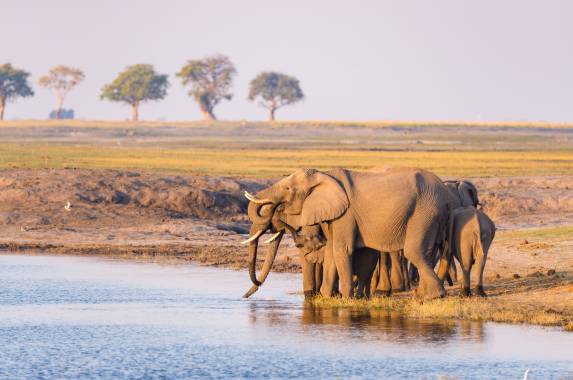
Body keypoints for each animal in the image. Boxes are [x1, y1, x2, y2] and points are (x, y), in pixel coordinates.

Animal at [241, 166, 452, 300]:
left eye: (287, 189)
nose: (244, 296)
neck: (324, 175)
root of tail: (445, 192)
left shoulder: (346, 214)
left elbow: (342, 249)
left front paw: (345, 298)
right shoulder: (334, 214)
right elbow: (331, 251)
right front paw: (326, 296)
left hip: (425, 210)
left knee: (414, 251)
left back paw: (434, 296)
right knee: (426, 252)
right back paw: (423, 294)